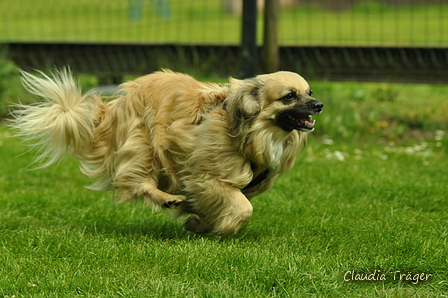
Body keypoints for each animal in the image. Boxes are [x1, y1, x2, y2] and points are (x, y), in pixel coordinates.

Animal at [11, 69, 322, 235]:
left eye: (308, 92)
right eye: (289, 96)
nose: (319, 105)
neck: (250, 131)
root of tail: (112, 108)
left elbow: (219, 204)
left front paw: (200, 222)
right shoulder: (205, 175)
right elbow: (243, 207)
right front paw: (224, 227)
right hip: (143, 144)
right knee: (136, 181)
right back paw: (166, 198)